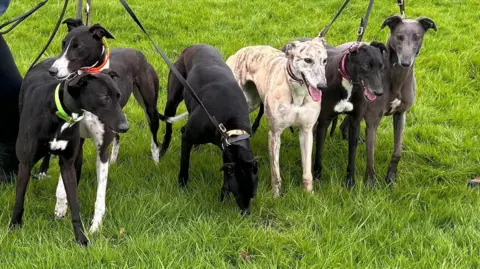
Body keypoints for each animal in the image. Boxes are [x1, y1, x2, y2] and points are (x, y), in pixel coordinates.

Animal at [11, 57, 127, 244]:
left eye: (119, 96)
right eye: (104, 97)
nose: (125, 127)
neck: (61, 112)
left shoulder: (67, 164)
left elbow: (74, 202)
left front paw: (81, 238)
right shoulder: (25, 163)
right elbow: (19, 200)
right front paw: (13, 227)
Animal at [46, 18, 186, 232]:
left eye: (79, 47)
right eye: (63, 44)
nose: (52, 70)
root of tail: (137, 53)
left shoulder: (101, 146)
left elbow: (100, 194)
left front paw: (95, 226)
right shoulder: (76, 141)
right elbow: (63, 183)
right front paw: (61, 208)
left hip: (149, 108)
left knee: (154, 137)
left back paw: (155, 161)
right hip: (118, 117)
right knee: (118, 135)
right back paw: (114, 159)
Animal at [161, 45, 258, 215]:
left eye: (252, 194)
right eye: (239, 193)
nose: (245, 213)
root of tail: (192, 46)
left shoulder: (226, 150)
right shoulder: (187, 135)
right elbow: (184, 163)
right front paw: (182, 186)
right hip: (172, 98)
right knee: (168, 126)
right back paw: (163, 149)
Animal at [227, 36, 328, 196]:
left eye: (324, 60)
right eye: (308, 60)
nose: (322, 86)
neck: (297, 95)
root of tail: (240, 52)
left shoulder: (306, 131)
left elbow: (307, 170)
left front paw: (309, 193)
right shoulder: (275, 133)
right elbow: (275, 172)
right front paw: (276, 195)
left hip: (251, 102)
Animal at [338, 15, 436, 185]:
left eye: (417, 37)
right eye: (399, 36)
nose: (405, 62)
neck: (396, 78)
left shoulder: (401, 115)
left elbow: (397, 151)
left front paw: (391, 177)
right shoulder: (372, 121)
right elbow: (370, 156)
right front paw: (370, 183)